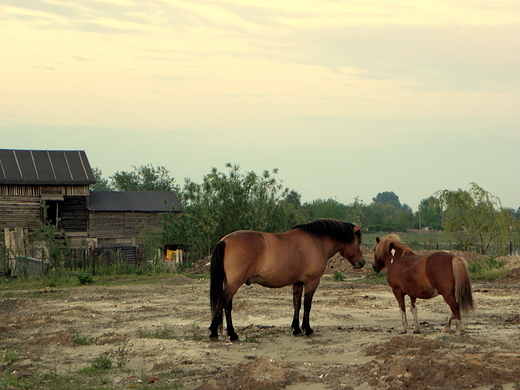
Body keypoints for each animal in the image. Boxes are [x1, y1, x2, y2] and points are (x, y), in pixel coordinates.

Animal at [209, 219, 364, 342]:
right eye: (359, 241)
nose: (362, 262)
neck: (316, 242)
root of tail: (225, 240)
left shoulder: (297, 282)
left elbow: (297, 304)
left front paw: (296, 329)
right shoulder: (312, 282)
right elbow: (307, 305)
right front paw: (307, 329)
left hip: (229, 283)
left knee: (227, 306)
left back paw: (232, 334)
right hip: (234, 284)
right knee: (222, 302)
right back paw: (214, 332)